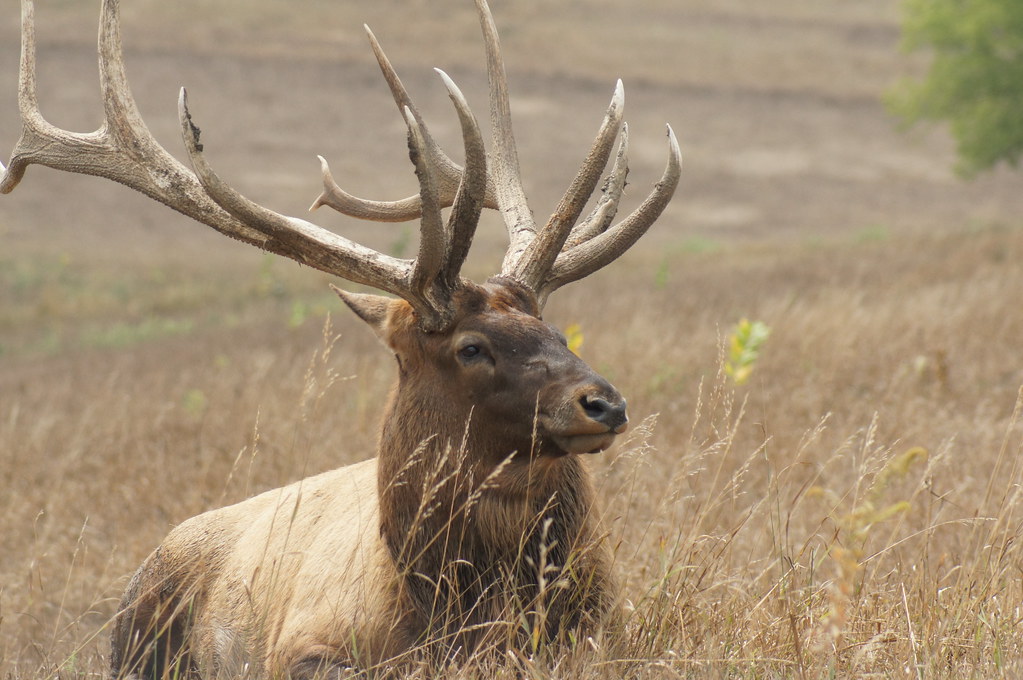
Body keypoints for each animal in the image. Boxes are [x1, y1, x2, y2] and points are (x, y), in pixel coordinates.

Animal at [2, 0, 681, 677]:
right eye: (469, 348)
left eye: (554, 328)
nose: (603, 403)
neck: (456, 619)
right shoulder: (305, 647)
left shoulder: (609, 631)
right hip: (134, 635)